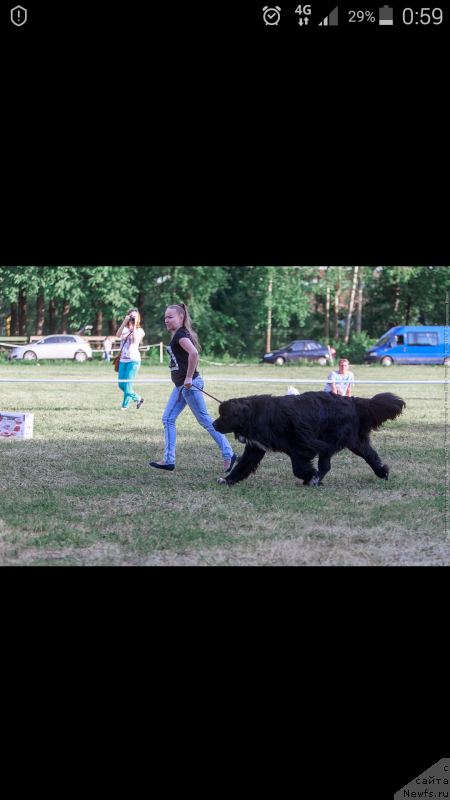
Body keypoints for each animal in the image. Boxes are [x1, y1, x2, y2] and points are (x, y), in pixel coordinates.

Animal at [213, 394, 406, 488]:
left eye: (225, 415)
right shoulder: (255, 448)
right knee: (370, 455)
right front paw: (229, 480)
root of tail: (352, 402)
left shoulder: (302, 444)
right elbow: (243, 465)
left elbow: (298, 467)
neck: (254, 414)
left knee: (326, 464)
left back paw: (316, 480)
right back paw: (382, 472)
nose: (214, 424)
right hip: (355, 440)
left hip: (332, 438)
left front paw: (309, 476)